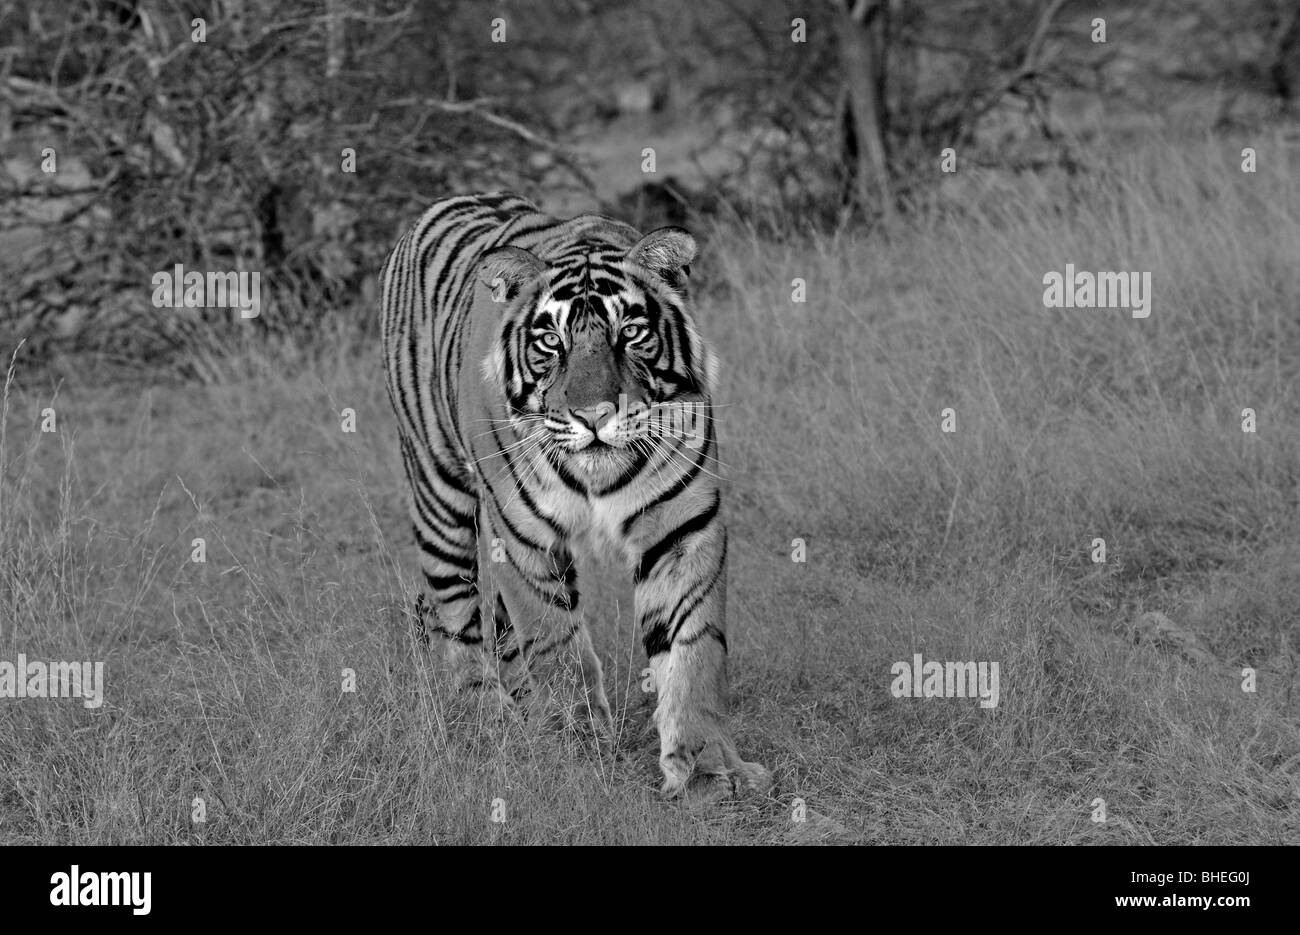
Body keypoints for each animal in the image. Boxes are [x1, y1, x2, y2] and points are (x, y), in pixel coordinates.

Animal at [379, 193, 774, 801]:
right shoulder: (523, 537)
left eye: (630, 332)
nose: (593, 415)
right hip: (437, 489)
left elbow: (693, 651)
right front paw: (578, 752)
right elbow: (555, 644)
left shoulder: (683, 528)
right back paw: (485, 716)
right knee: (457, 613)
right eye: (550, 341)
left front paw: (709, 770)